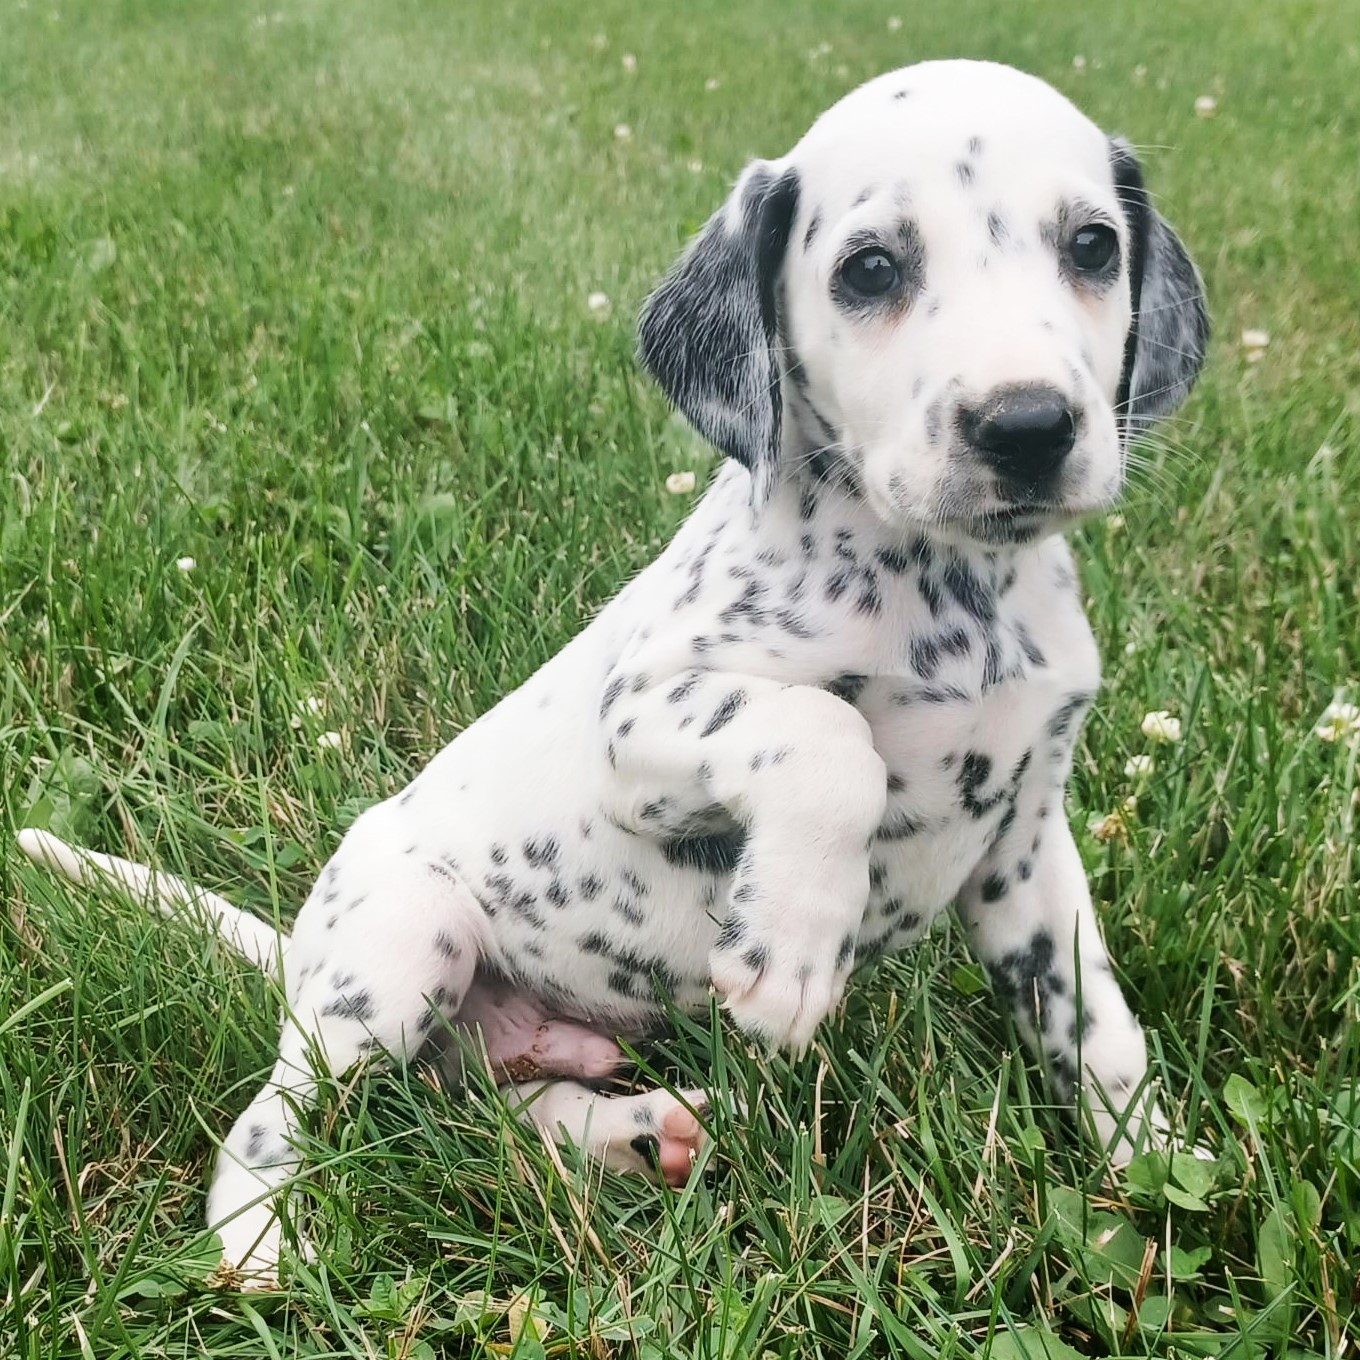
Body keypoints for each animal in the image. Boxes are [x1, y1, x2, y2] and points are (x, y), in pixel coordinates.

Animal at [18, 55, 1213, 1283]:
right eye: (870, 268)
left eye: (1093, 246)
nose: (1027, 426)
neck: (957, 598)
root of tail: (300, 957)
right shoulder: (643, 727)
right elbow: (829, 737)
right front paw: (793, 941)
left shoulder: (1026, 854)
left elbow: (1099, 1031)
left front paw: (1156, 1166)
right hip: (402, 954)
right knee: (275, 1117)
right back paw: (259, 1239)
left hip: (500, 1046)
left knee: (497, 1112)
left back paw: (634, 1135)